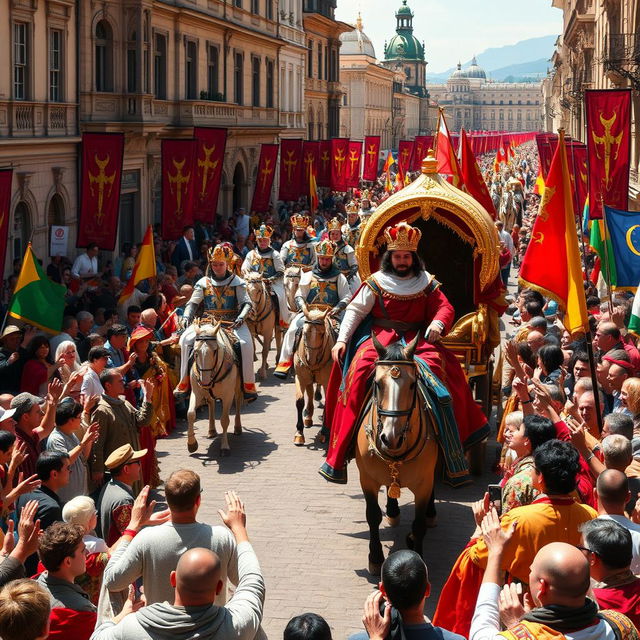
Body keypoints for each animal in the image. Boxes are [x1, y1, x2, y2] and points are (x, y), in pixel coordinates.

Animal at [189, 320, 244, 456]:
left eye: (214, 351)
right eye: (196, 352)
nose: (204, 381)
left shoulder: (228, 395)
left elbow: (224, 420)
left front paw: (224, 447)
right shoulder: (196, 393)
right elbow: (191, 414)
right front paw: (191, 444)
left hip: (237, 388)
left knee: (238, 403)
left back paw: (238, 428)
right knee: (211, 403)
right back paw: (211, 430)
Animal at [294, 308, 336, 442]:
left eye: (322, 334)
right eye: (305, 332)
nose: (310, 360)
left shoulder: (328, 381)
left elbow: (328, 402)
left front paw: (324, 432)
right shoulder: (301, 377)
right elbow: (300, 401)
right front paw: (299, 433)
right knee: (310, 393)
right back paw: (308, 416)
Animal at [356, 336, 440, 576]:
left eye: (412, 385)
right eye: (377, 383)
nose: (390, 437)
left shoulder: (423, 483)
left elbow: (418, 525)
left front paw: (418, 557)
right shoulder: (367, 479)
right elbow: (372, 516)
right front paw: (375, 558)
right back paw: (392, 511)